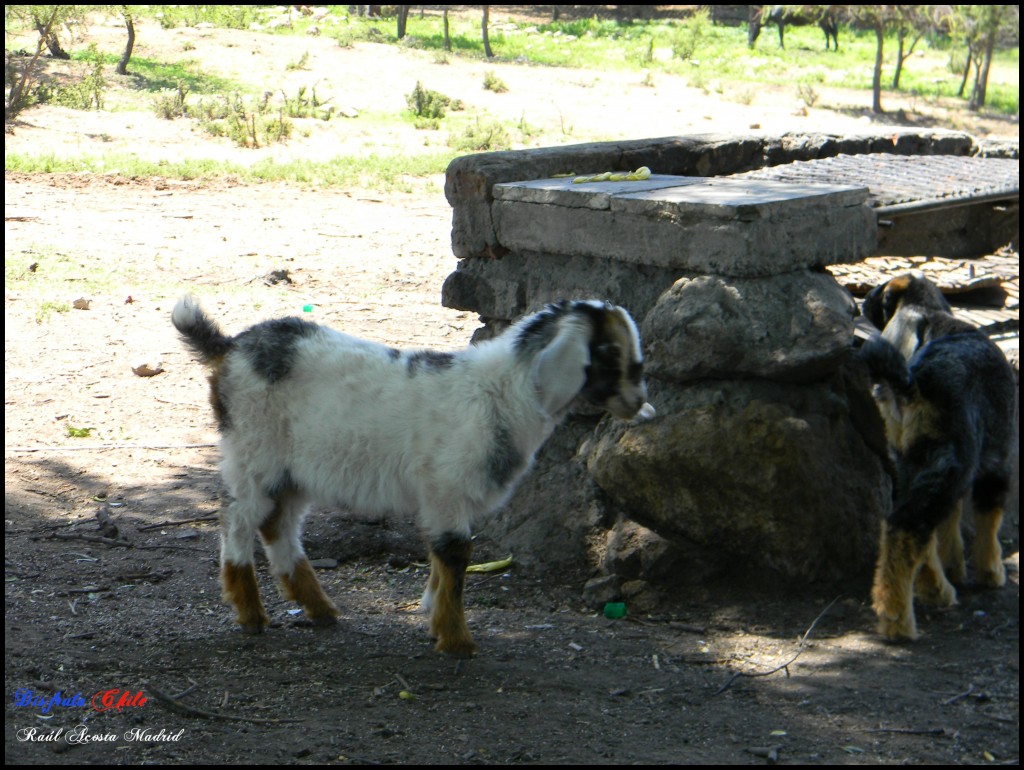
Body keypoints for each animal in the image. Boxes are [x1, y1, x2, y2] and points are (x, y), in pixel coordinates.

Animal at [174, 294, 655, 655]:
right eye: (609, 354)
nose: (640, 405)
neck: (503, 390)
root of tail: (231, 346)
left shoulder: (445, 497)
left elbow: (442, 558)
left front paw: (434, 619)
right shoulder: (447, 489)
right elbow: (456, 556)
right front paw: (456, 640)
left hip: (293, 468)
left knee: (278, 524)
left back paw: (319, 608)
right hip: (253, 452)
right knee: (238, 520)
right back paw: (251, 614)